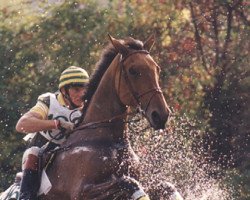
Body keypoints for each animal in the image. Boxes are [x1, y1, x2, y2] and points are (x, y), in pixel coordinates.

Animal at [41, 34, 173, 200]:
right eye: (133, 71)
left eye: (157, 68)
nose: (161, 115)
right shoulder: (82, 191)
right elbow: (129, 183)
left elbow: (166, 186)